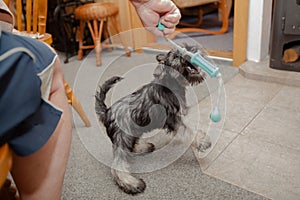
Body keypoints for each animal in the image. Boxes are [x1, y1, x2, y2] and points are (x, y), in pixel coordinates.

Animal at [95, 45, 211, 194]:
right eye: (176, 56)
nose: (192, 52)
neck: (171, 83)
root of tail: (107, 112)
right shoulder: (174, 120)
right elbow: (190, 130)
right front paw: (202, 141)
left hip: (133, 132)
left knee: (130, 148)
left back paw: (143, 147)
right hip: (123, 138)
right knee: (118, 165)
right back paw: (131, 183)